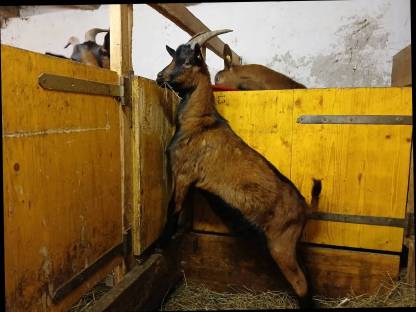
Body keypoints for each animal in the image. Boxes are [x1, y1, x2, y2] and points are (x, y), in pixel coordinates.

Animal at [156, 29, 322, 310]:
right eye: (172, 57)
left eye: (188, 61)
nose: (159, 77)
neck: (199, 123)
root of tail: (304, 209)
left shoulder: (184, 173)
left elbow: (173, 208)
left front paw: (161, 243)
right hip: (292, 245)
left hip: (281, 244)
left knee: (301, 283)